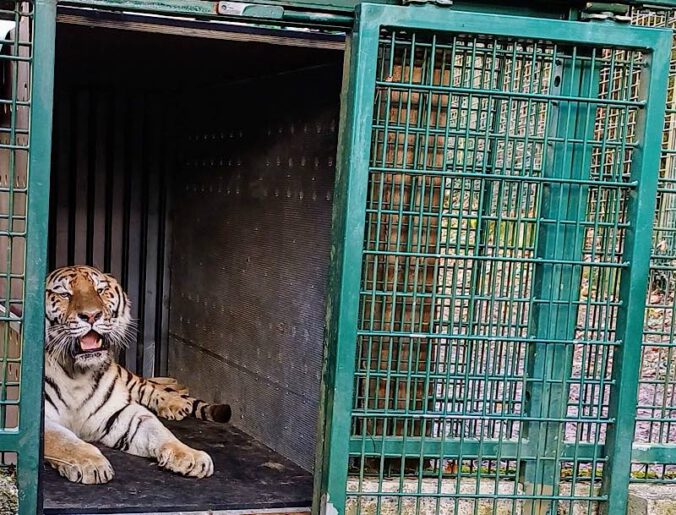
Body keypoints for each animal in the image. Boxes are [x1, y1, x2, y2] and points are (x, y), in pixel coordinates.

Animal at [43, 266, 232, 484]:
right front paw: (91, 463)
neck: (78, 373)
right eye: (65, 294)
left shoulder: (119, 412)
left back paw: (176, 402)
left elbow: (159, 431)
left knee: (147, 386)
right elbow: (64, 440)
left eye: (100, 290)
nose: (91, 316)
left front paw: (190, 456)